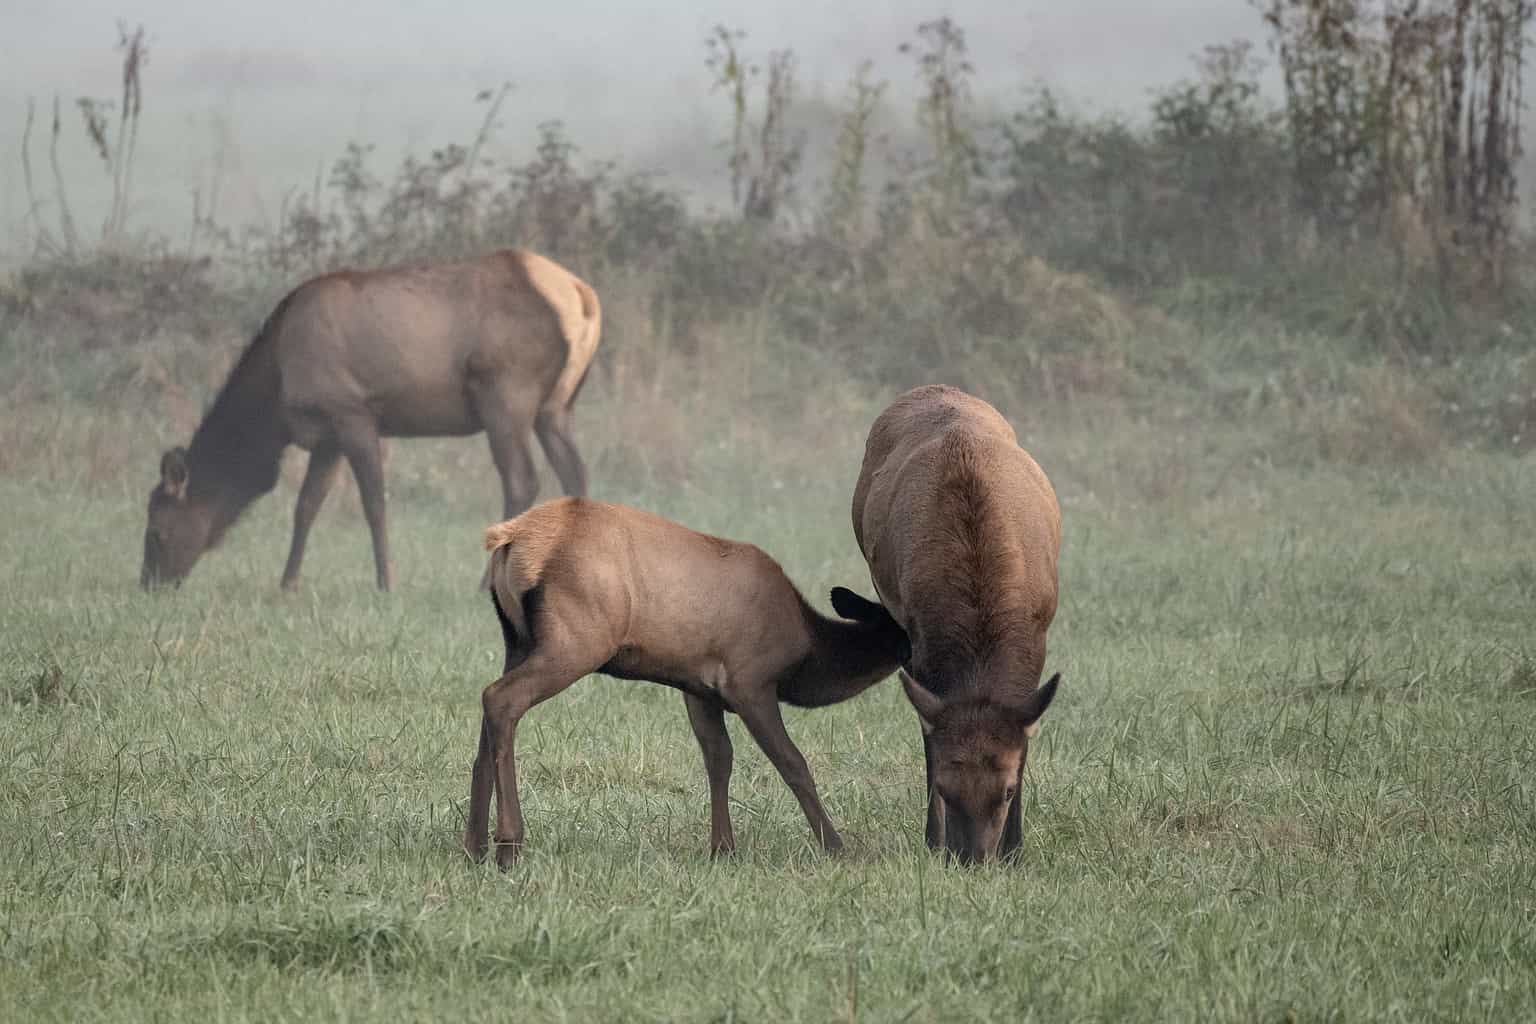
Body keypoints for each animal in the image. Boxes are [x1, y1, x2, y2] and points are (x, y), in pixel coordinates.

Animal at [140, 247, 601, 593]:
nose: (149, 585)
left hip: (505, 393)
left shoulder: (352, 412)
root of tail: (582, 298)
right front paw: (287, 584)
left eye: (158, 530)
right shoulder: (325, 437)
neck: (277, 396)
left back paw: (484, 582)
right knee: (575, 473)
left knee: (521, 480)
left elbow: (374, 504)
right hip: (556, 406)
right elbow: (306, 507)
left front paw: (386, 582)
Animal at [461, 497, 911, 868]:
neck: (805, 652)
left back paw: (473, 845)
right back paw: (508, 844)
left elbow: (719, 758)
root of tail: (511, 538)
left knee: (488, 716)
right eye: (902, 625)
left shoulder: (698, 688)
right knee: (501, 698)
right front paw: (834, 846)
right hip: (577, 637)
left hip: (518, 641)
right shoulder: (750, 680)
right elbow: (792, 761)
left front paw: (723, 849)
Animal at [850, 384, 1063, 865]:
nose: (973, 859)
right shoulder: (919, 637)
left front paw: (1015, 850)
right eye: (946, 790)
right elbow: (929, 739)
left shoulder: (1039, 635)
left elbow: (1025, 738)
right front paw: (934, 841)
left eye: (1008, 791)